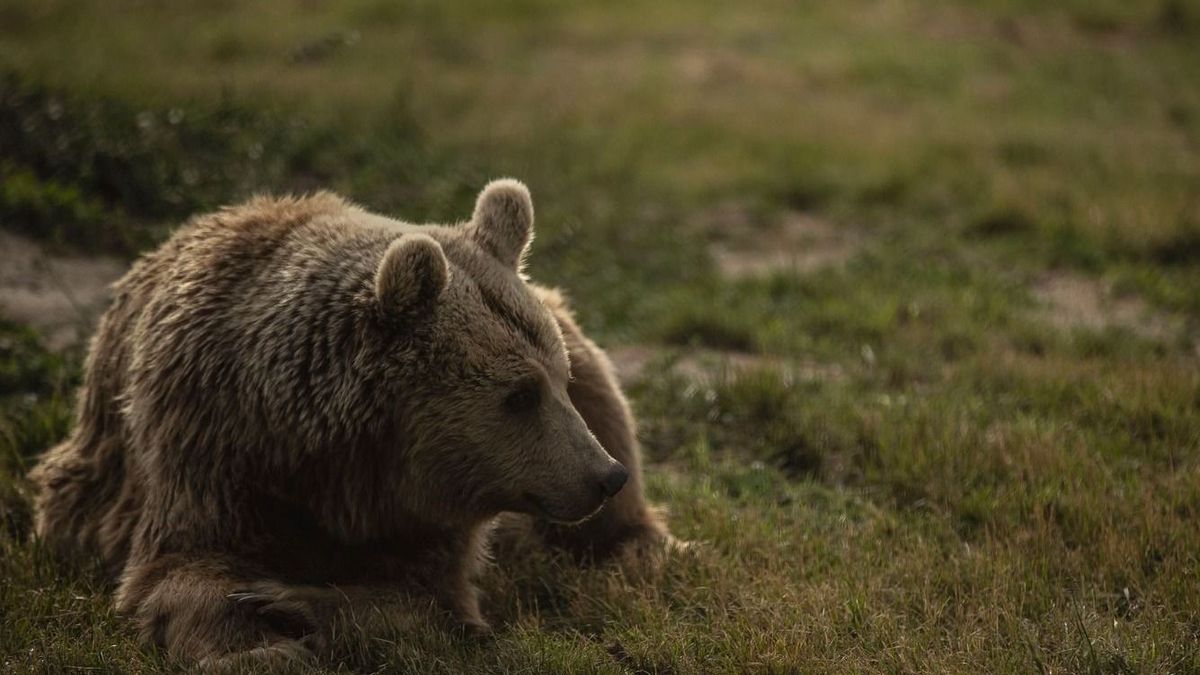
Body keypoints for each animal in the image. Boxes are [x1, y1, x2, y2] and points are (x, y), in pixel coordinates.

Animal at [28, 178, 672, 662]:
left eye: (557, 380)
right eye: (520, 395)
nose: (602, 475)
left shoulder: (438, 508)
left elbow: (432, 600)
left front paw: (290, 601)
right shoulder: (204, 444)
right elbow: (180, 569)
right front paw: (260, 644)